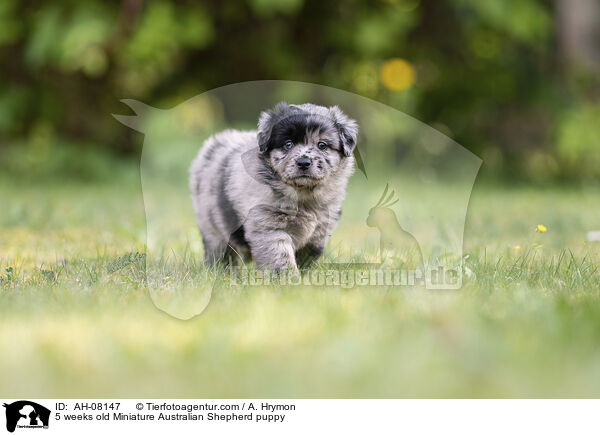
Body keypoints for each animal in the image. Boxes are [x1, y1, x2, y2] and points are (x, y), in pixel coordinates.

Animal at [189, 102, 356, 274]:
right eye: (288, 144)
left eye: (322, 145)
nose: (304, 162)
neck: (302, 195)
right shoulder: (269, 226)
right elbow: (281, 255)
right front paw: (288, 277)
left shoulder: (319, 232)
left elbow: (308, 255)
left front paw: (304, 275)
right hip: (213, 226)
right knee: (220, 251)